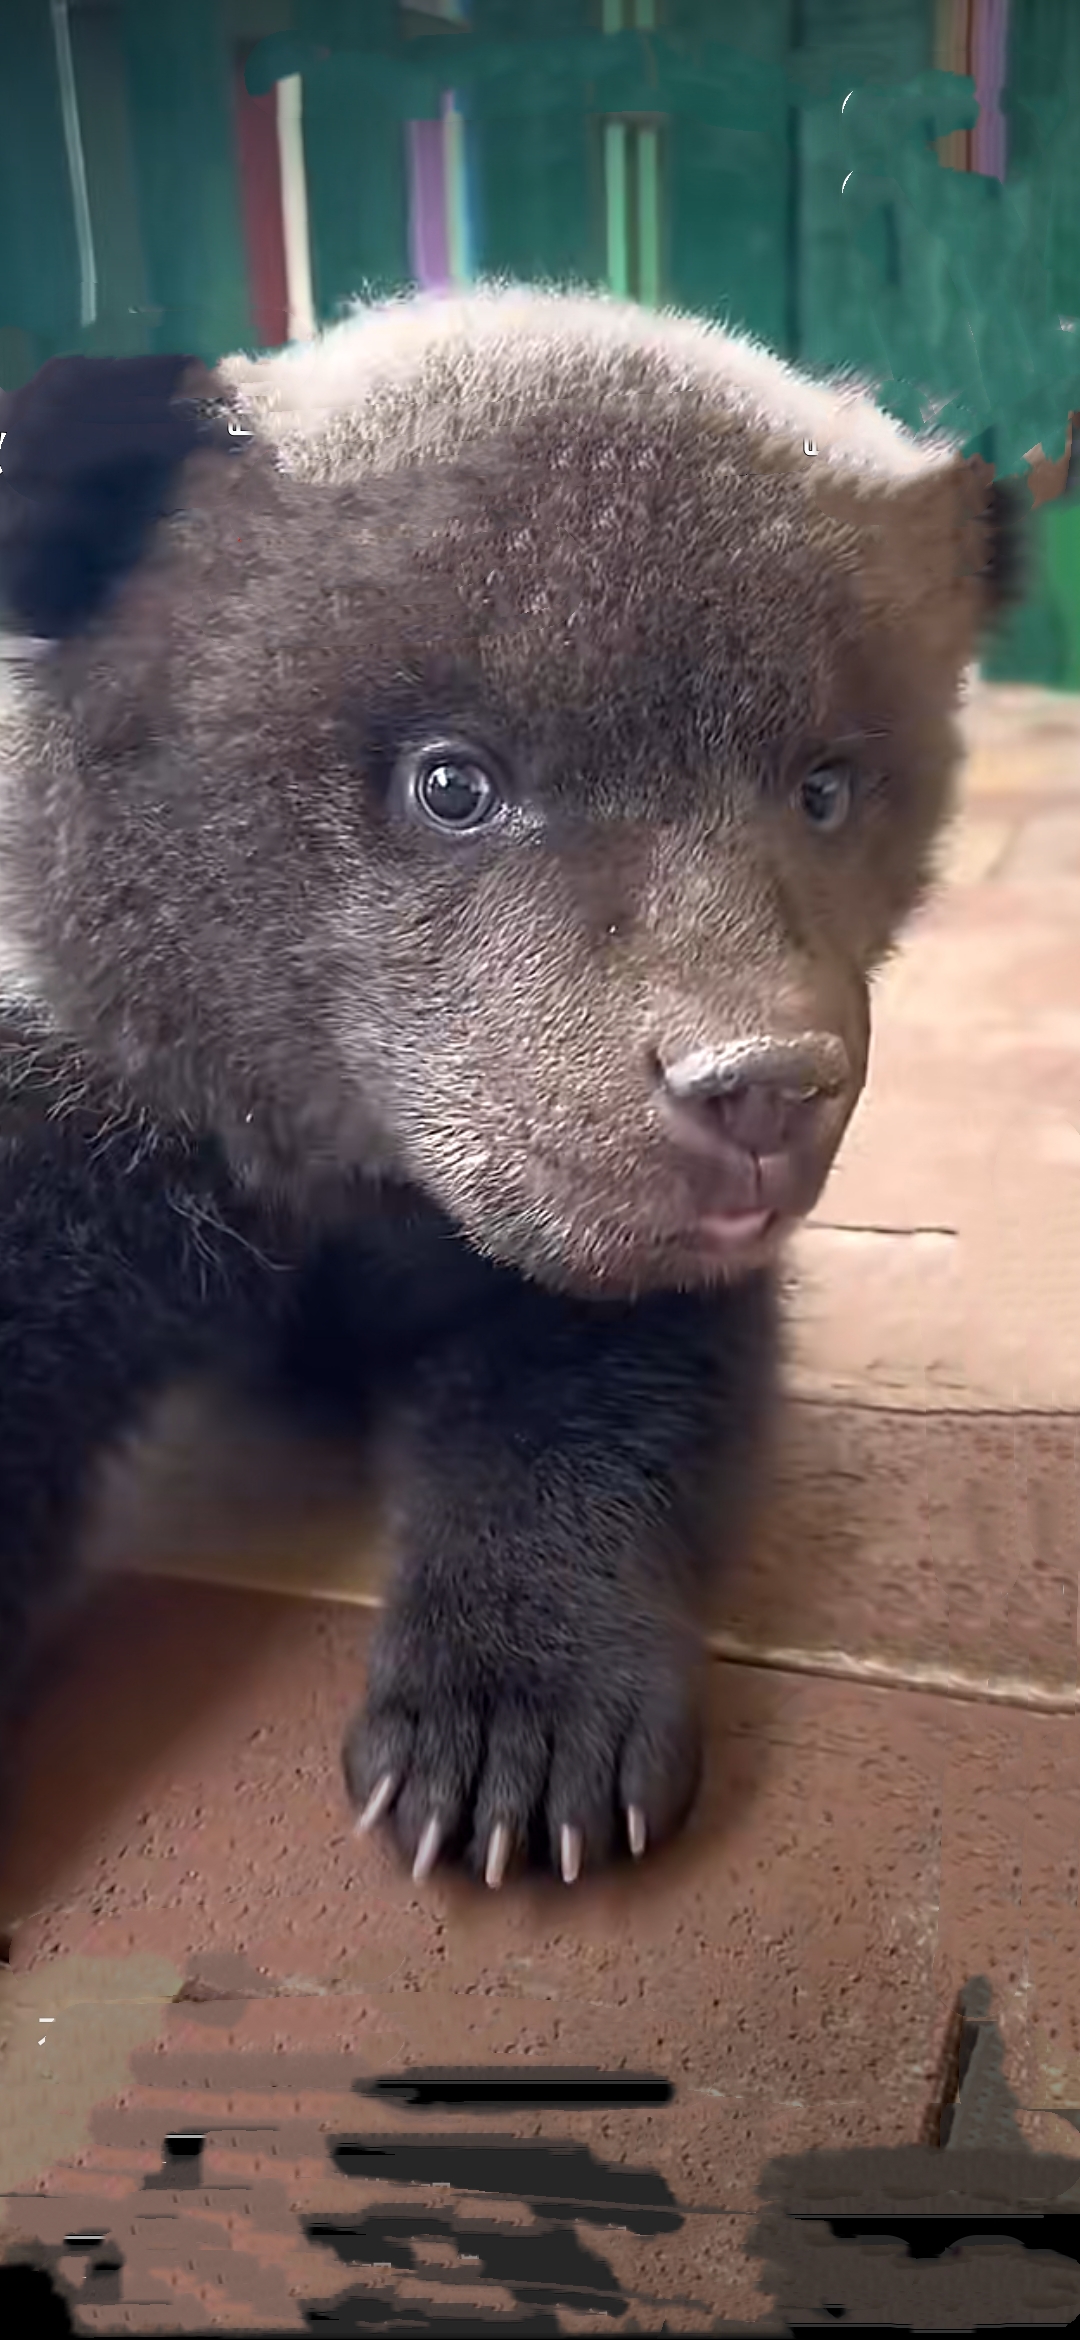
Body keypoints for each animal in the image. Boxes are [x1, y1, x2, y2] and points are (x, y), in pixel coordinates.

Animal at [0, 285, 1022, 1889]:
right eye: (451, 781)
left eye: (827, 787)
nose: (765, 1092)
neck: (336, 1167)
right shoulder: (84, 1097)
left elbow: (608, 1378)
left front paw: (516, 1732)